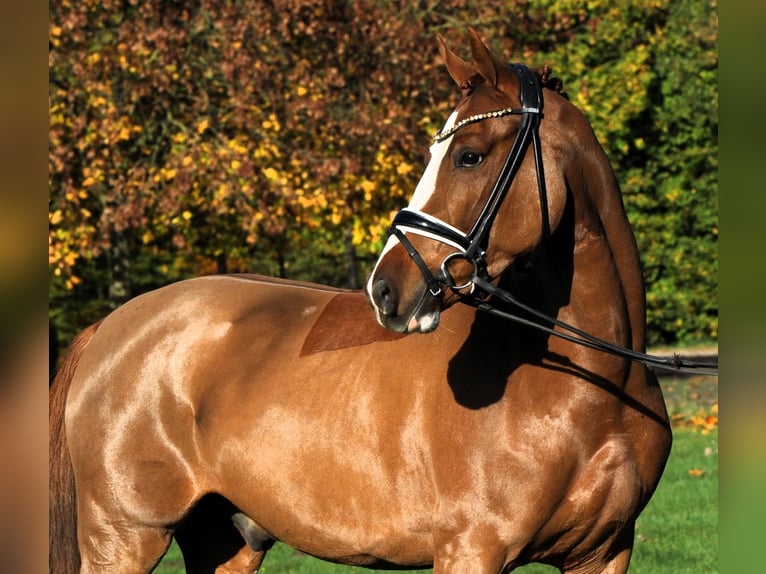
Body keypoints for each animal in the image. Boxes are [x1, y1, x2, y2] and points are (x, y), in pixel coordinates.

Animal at [49, 30, 672, 574]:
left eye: (469, 155)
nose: (387, 287)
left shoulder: (604, 554)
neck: (589, 390)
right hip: (125, 540)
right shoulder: (472, 550)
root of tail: (112, 326)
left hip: (224, 542)